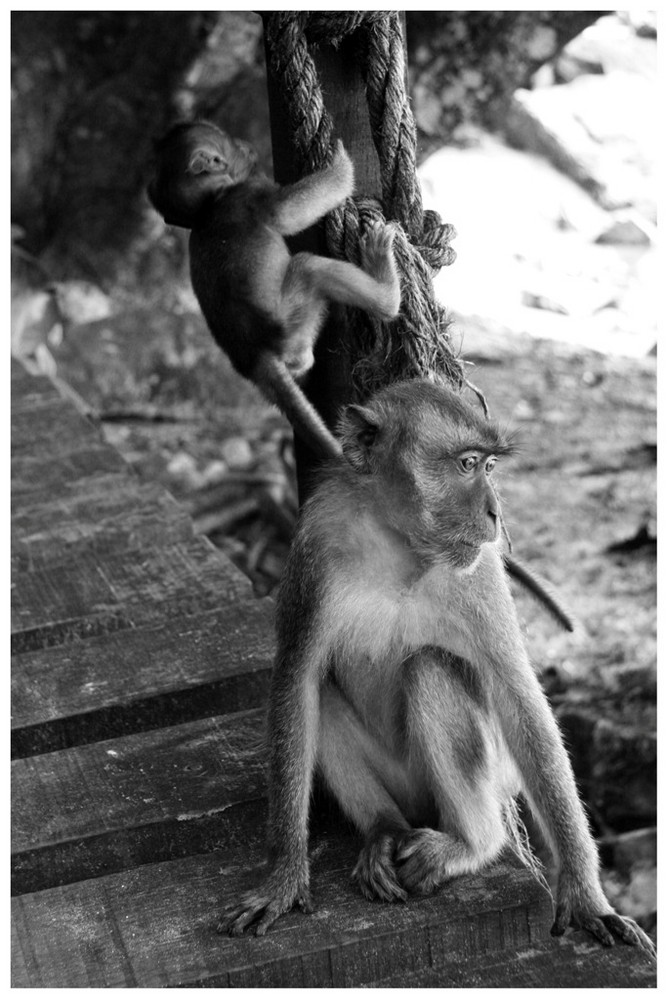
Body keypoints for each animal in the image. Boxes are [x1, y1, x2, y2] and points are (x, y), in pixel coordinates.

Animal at [149, 120, 400, 458]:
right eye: (230, 145)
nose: (246, 145)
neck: (207, 207)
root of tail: (253, 356)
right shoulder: (250, 193)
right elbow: (287, 214)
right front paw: (340, 163)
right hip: (292, 327)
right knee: (309, 268)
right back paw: (386, 290)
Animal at [222, 378, 656, 956]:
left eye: (489, 466)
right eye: (468, 464)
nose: (495, 513)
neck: (398, 543)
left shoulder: (482, 571)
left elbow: (519, 699)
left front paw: (587, 898)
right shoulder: (314, 546)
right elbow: (297, 681)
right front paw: (285, 875)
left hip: (487, 780)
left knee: (428, 667)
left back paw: (473, 845)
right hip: (401, 784)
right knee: (325, 695)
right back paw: (383, 829)